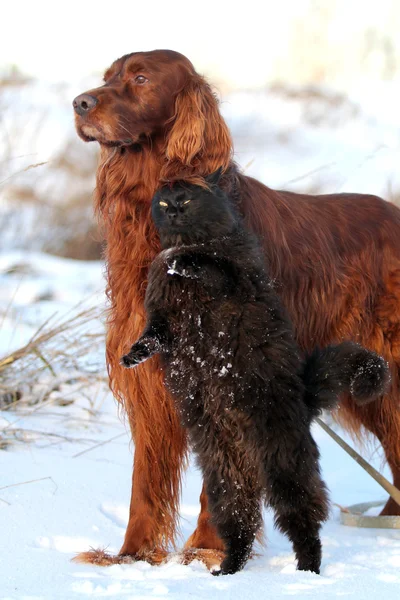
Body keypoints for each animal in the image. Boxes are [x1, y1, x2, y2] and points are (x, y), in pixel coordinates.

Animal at [73, 48, 400, 568]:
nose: (80, 103)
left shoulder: (235, 371)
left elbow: (224, 478)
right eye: (107, 77)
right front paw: (133, 555)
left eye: (141, 78)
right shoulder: (153, 377)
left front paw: (210, 548)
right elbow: (146, 482)